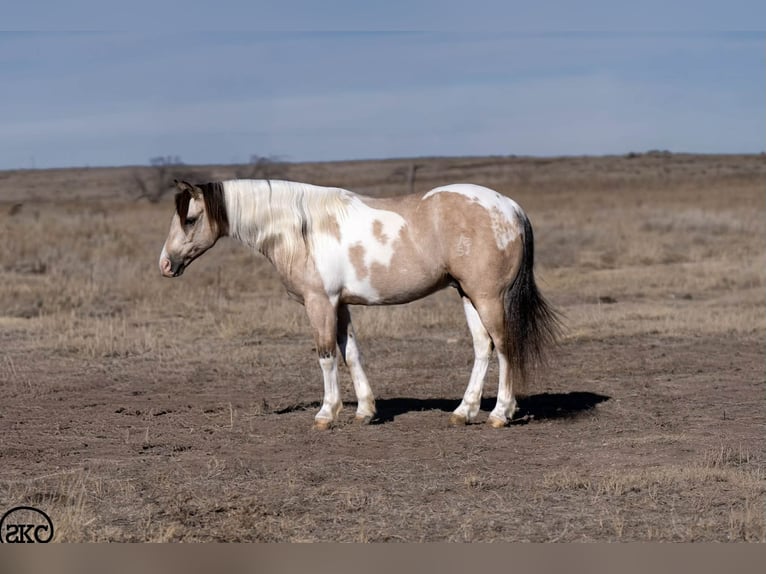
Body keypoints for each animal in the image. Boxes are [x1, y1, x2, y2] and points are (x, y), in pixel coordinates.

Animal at [159, 179, 559, 429]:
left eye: (190, 219)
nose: (165, 264)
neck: (302, 229)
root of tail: (511, 208)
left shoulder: (319, 303)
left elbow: (326, 356)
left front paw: (326, 414)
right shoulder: (341, 305)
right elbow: (351, 353)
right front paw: (365, 411)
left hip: (488, 297)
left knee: (505, 347)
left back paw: (500, 413)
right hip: (468, 296)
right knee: (482, 347)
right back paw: (464, 412)